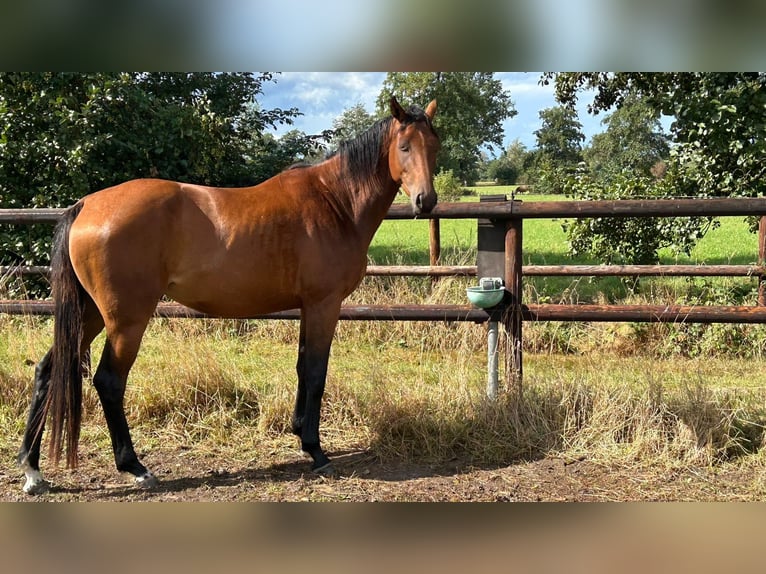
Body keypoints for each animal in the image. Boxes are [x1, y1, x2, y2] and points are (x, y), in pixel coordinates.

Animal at [16, 95, 438, 496]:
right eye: (403, 146)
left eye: (434, 145)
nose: (426, 201)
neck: (334, 202)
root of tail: (86, 204)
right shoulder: (324, 305)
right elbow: (317, 372)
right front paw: (316, 451)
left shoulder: (308, 307)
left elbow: (303, 368)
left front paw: (299, 433)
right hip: (125, 320)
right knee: (108, 381)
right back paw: (135, 467)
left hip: (89, 314)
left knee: (48, 370)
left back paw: (32, 470)